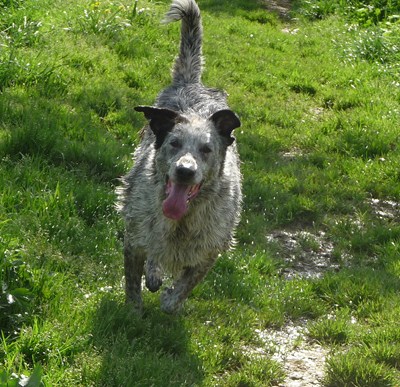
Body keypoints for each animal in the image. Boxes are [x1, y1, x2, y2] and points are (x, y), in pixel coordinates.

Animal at [117, 0, 242, 316]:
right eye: (174, 143)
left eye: (207, 149)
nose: (185, 171)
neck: (182, 222)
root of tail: (190, 83)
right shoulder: (135, 237)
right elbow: (132, 282)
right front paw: (134, 311)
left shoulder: (210, 251)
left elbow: (184, 288)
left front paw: (169, 301)